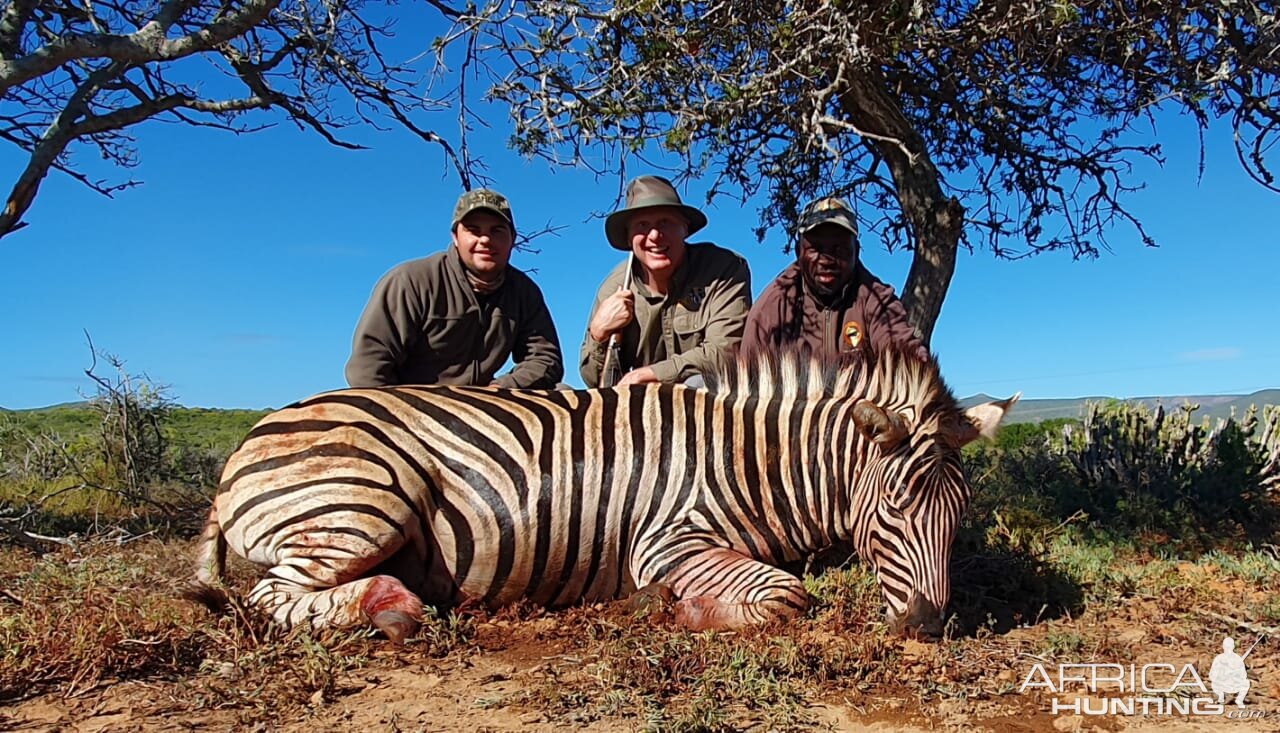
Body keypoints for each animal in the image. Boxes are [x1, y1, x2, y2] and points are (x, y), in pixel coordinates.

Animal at [185, 345, 1013, 637]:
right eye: (895, 509)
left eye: (961, 515)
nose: (932, 624)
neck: (749, 460)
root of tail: (251, 439)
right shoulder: (668, 541)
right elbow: (786, 595)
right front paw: (674, 608)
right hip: (363, 503)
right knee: (268, 594)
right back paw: (391, 605)